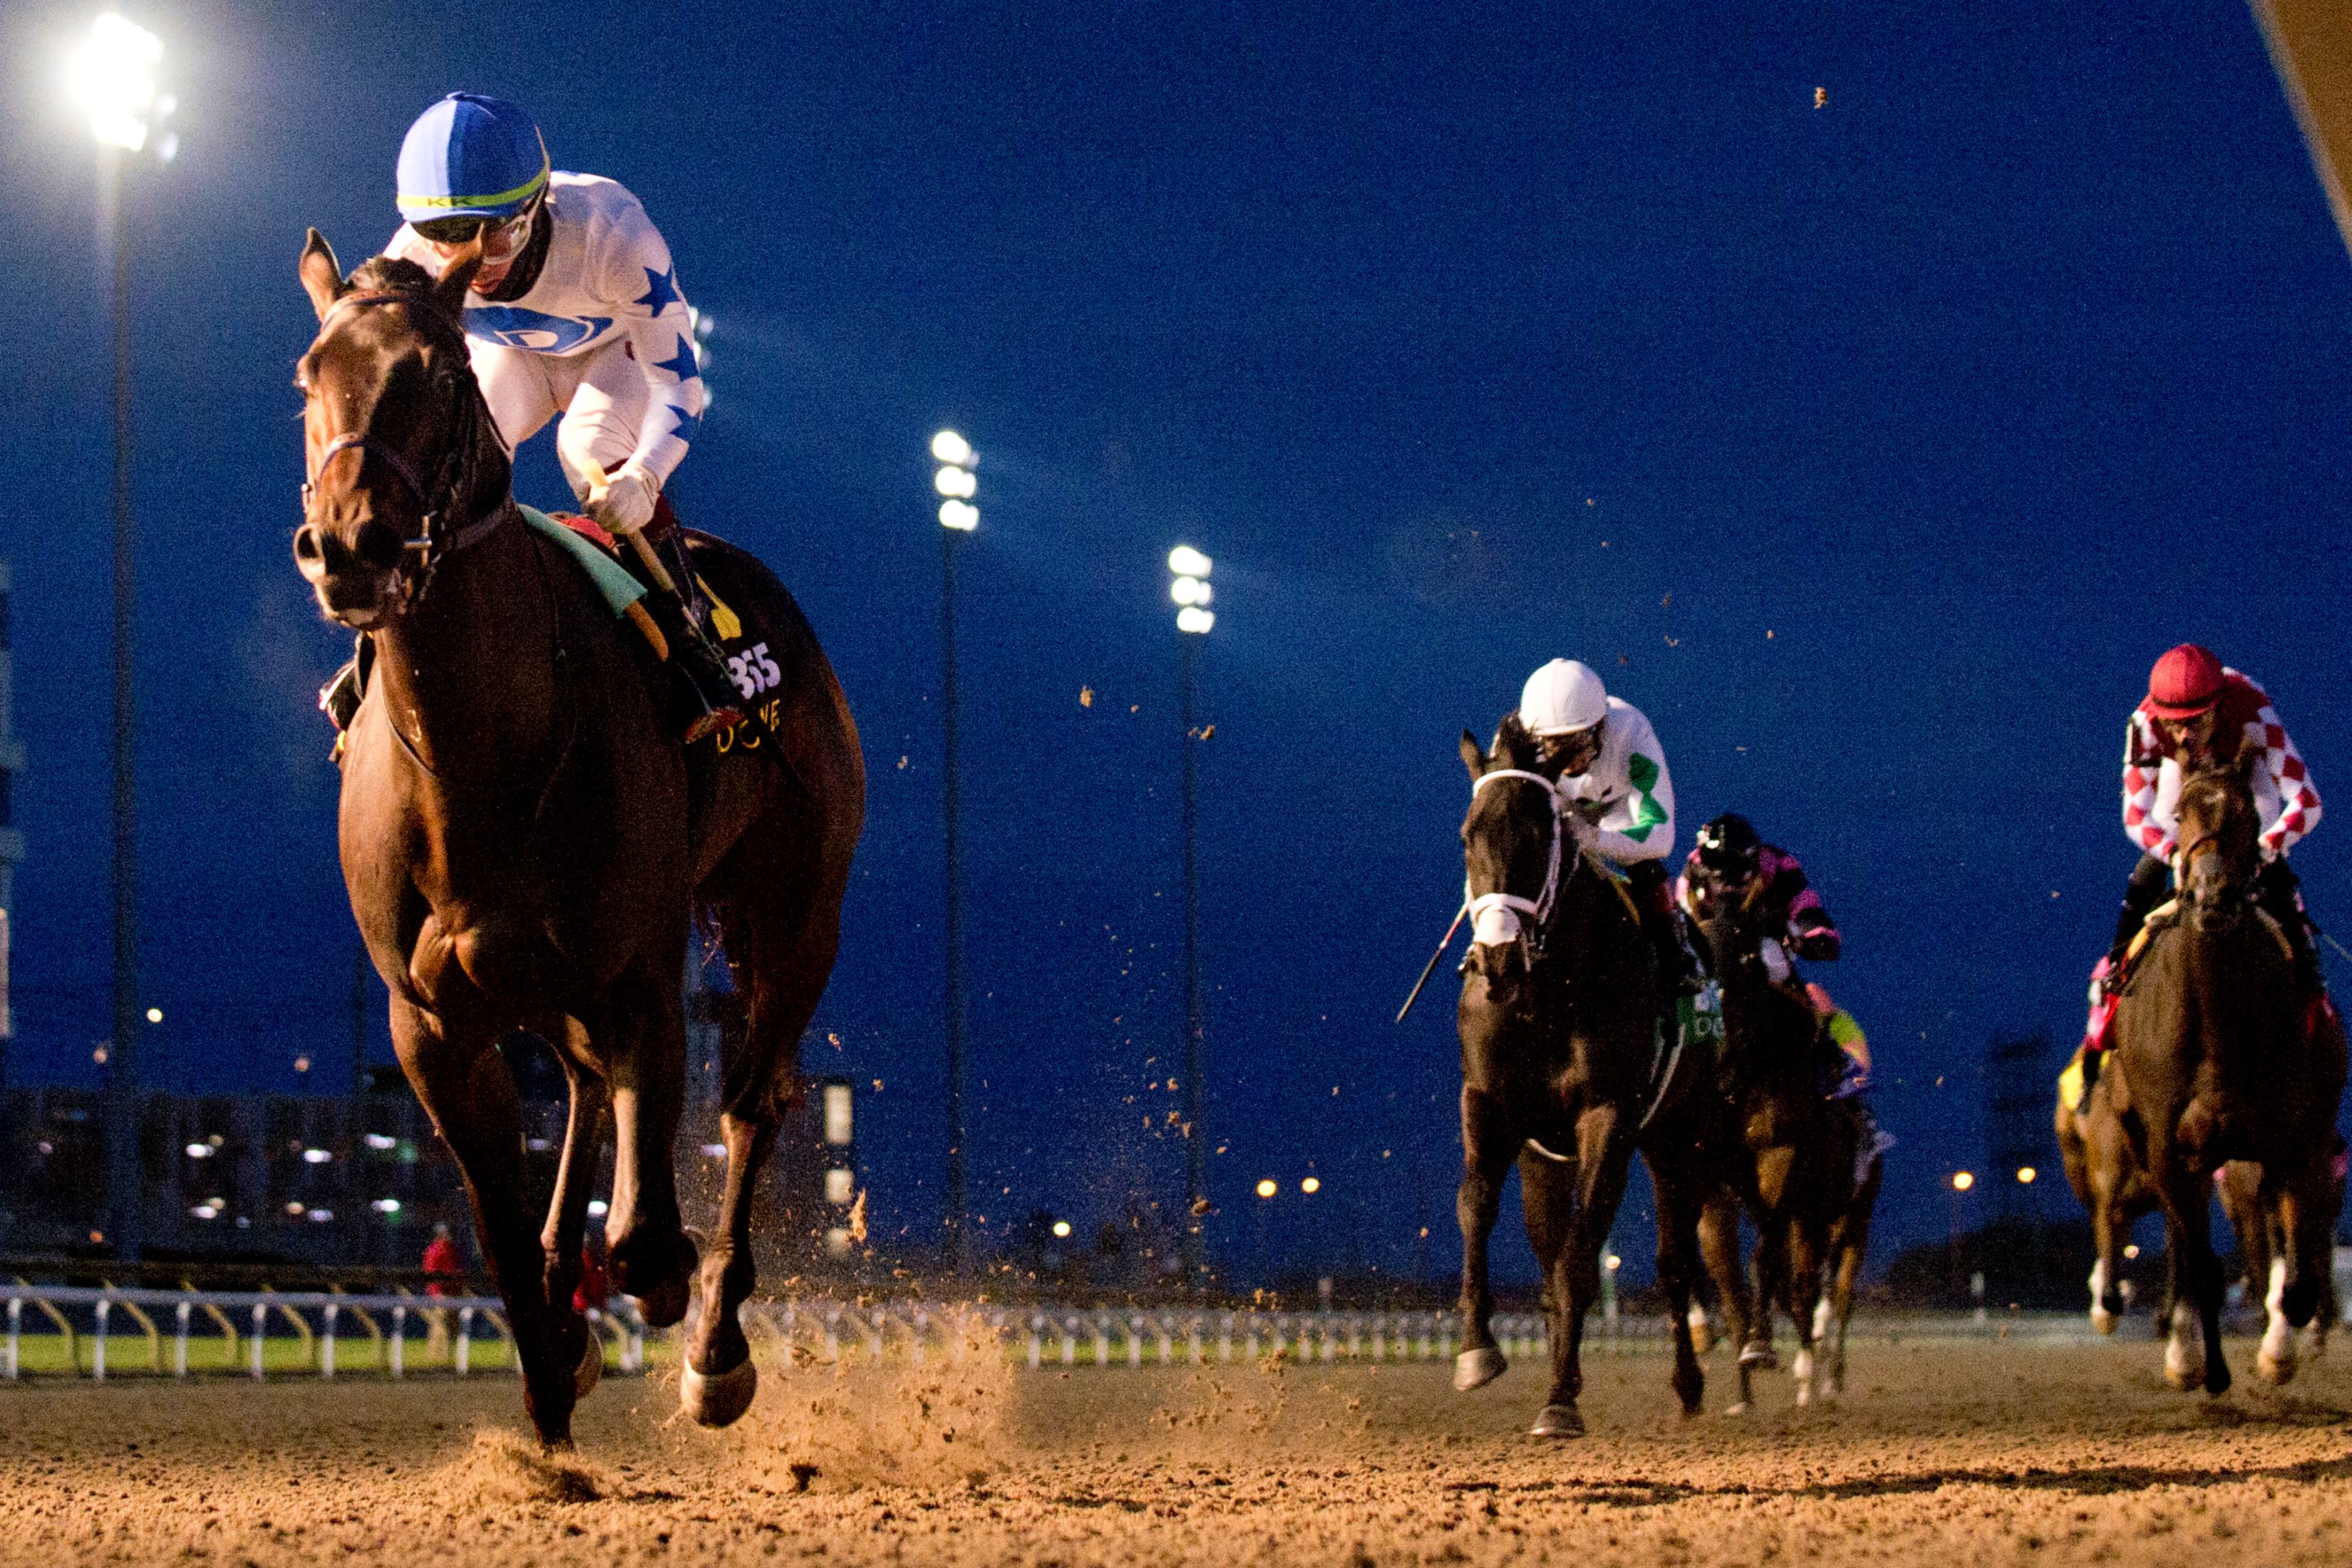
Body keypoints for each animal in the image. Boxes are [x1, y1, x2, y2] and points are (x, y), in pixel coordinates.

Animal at [288, 232, 865, 1448]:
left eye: (442, 374)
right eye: (309, 376)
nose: (351, 546)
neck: (481, 749)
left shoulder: (642, 973)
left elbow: (646, 1235)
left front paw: (657, 1307)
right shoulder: (429, 1024)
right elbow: (502, 1238)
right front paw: (548, 1420)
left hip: (795, 916)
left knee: (753, 1104)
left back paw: (714, 1347)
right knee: (591, 1094)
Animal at [2117, 766, 2333, 1391]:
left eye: (2250, 816)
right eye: (2180, 814)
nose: (2213, 896)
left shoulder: (2297, 1141)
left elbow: (2295, 1265)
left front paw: (2281, 1346)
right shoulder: (2169, 1148)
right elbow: (2203, 1262)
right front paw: (2205, 1368)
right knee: (2187, 1248)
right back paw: (2185, 1351)